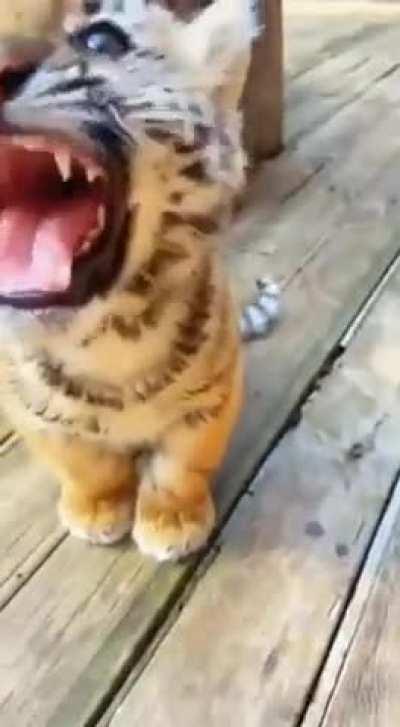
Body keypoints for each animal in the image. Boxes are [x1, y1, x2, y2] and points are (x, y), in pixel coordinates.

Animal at [0, 0, 278, 561]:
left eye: (101, 40)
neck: (111, 335)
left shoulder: (213, 396)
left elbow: (182, 464)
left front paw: (171, 520)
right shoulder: (30, 407)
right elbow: (82, 463)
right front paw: (96, 508)